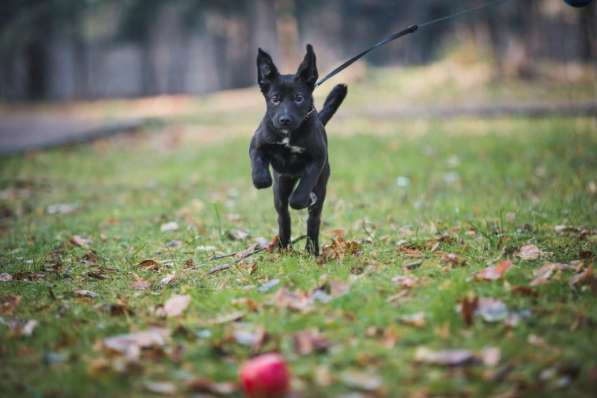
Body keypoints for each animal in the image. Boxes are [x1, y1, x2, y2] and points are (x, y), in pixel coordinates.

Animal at [249, 44, 346, 255]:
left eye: (299, 98)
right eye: (275, 99)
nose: (285, 119)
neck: (289, 133)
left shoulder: (316, 161)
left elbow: (301, 194)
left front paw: (305, 198)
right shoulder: (257, 144)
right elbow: (258, 164)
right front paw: (262, 179)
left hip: (321, 185)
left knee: (313, 219)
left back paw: (311, 250)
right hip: (282, 186)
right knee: (283, 215)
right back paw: (284, 247)